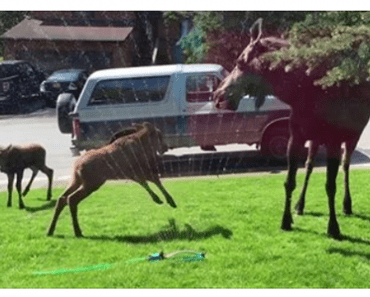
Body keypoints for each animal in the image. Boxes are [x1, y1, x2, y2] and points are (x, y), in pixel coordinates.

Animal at [47, 121, 177, 237]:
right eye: (159, 135)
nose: (166, 147)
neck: (143, 146)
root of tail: (77, 166)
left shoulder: (131, 173)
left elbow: (145, 182)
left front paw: (159, 200)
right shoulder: (137, 169)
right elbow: (155, 180)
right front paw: (170, 201)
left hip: (76, 180)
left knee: (62, 198)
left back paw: (51, 230)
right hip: (92, 182)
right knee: (71, 199)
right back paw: (77, 231)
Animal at [212, 18, 370, 237]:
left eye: (240, 62)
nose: (217, 96)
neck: (302, 93)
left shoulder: (333, 141)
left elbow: (330, 185)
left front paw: (333, 227)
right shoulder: (296, 138)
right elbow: (289, 182)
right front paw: (286, 220)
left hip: (353, 135)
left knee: (346, 166)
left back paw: (347, 205)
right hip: (315, 139)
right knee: (310, 166)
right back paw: (300, 205)